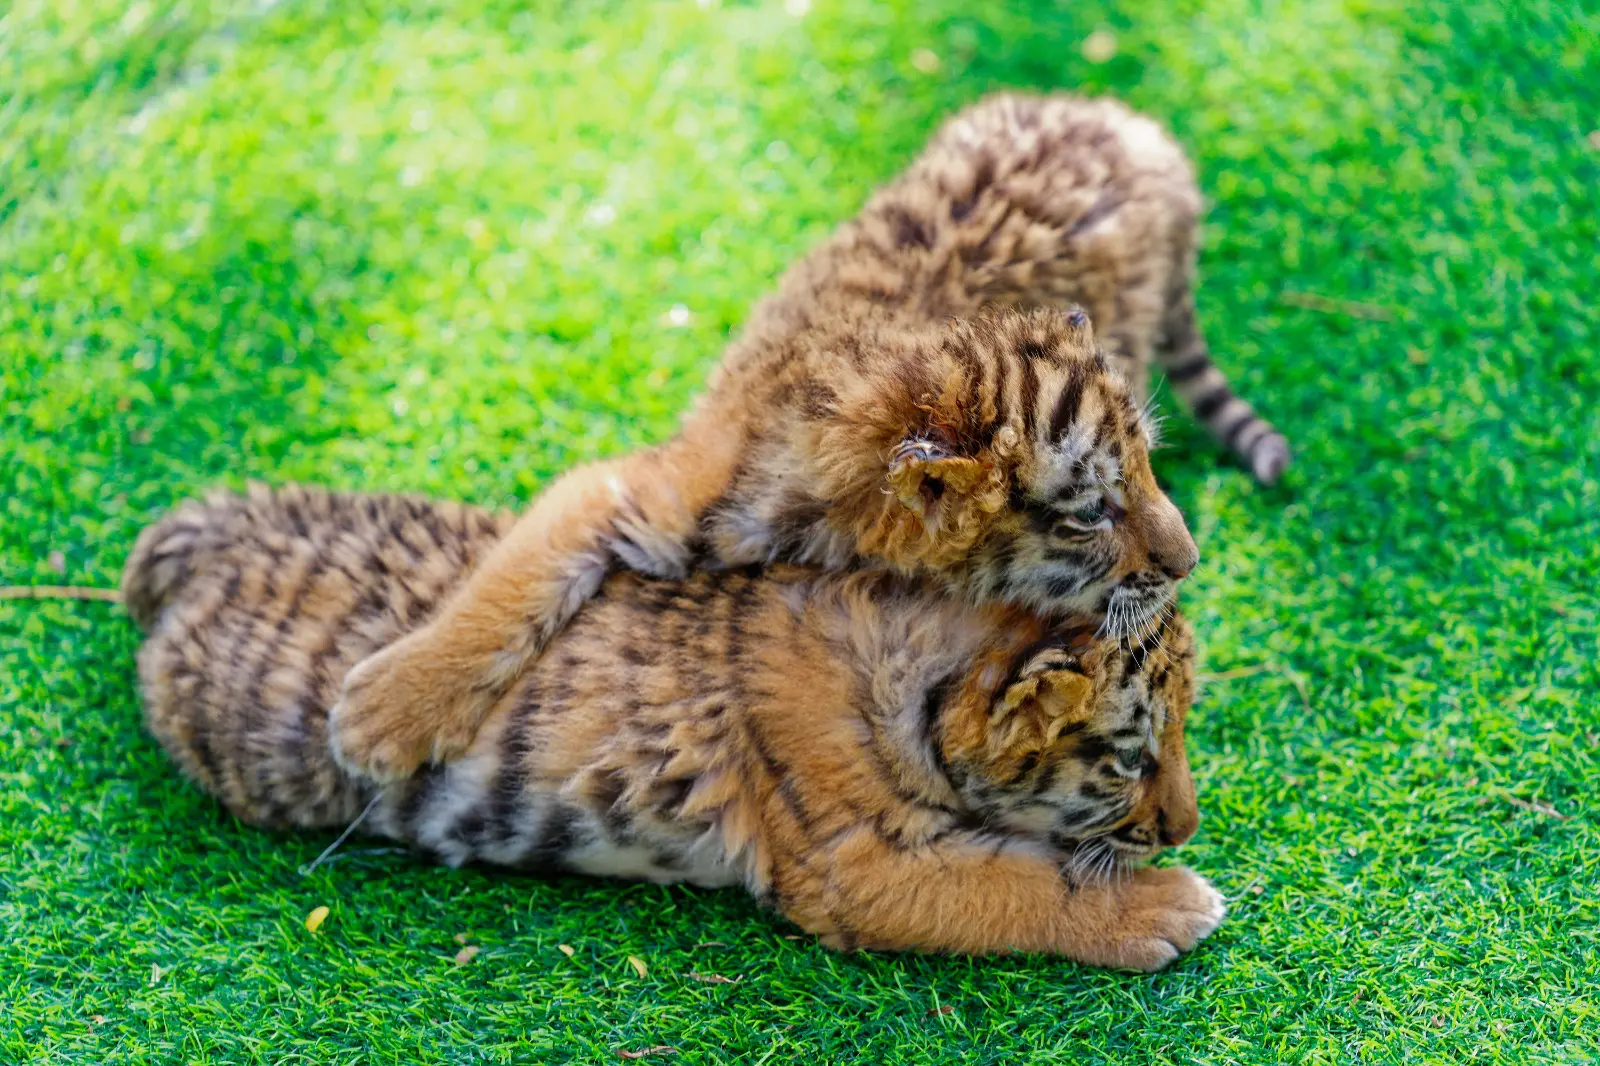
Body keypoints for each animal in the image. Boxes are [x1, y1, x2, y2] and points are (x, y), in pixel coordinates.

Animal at [124, 484, 1225, 970]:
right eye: (1129, 759)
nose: (1186, 825)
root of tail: (219, 522)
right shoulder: (850, 867)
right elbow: (1014, 890)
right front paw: (1167, 906)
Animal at [329, 92, 1287, 786]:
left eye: (1150, 469)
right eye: (1090, 515)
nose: (1190, 562)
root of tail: (1130, 126)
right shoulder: (634, 491)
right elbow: (505, 590)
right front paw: (387, 715)